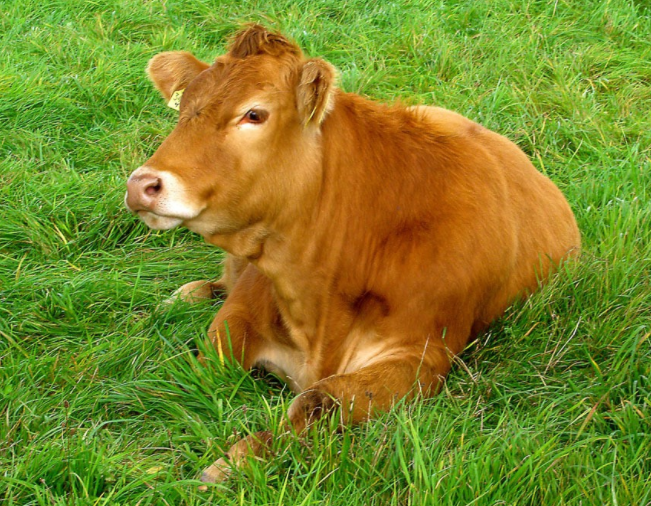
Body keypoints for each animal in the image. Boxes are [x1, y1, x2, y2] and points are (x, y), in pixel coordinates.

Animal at [125, 25, 584, 484]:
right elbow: (207, 358)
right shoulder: (244, 305)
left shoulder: (422, 355)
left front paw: (237, 460)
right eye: (184, 107)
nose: (141, 184)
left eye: (254, 114)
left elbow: (318, 401)